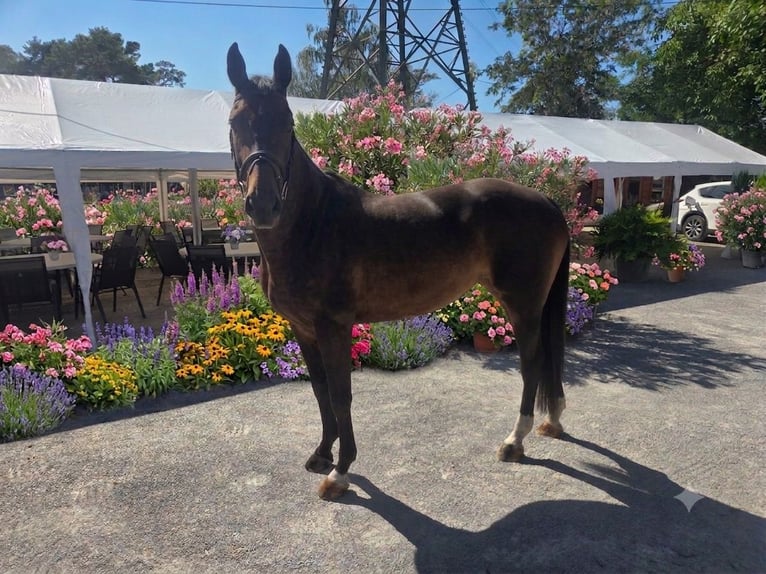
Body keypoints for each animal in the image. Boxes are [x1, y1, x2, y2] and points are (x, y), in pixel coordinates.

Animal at [227, 43, 571, 500]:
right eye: (236, 122)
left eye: (287, 122)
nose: (263, 205)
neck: (314, 223)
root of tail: (546, 201)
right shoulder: (303, 329)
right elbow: (319, 391)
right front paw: (321, 454)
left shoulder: (334, 326)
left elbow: (341, 395)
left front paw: (340, 472)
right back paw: (551, 422)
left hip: (523, 304)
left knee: (531, 364)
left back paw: (514, 441)